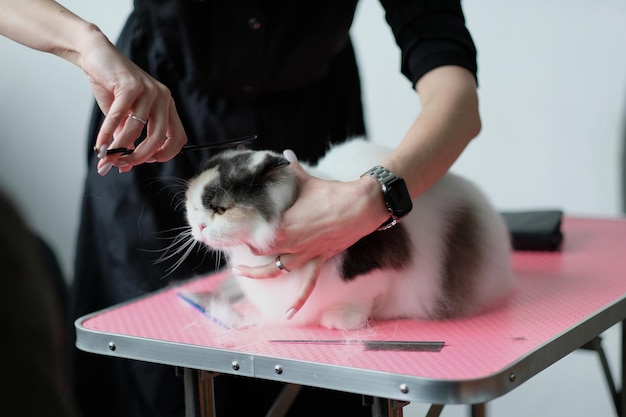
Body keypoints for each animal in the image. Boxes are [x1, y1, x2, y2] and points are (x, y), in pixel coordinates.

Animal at [183, 138, 516, 330]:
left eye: (221, 209)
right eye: (193, 206)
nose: (199, 226)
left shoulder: (380, 269)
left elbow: (361, 296)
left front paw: (341, 320)